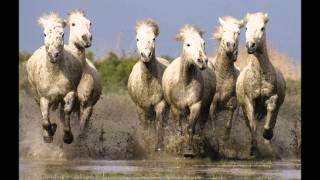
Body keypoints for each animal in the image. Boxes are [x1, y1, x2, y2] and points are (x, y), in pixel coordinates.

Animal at [26, 12, 82, 144]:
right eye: (45, 34)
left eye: (62, 34)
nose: (53, 55)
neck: (54, 75)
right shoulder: (44, 98)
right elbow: (46, 121)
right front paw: (48, 135)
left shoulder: (69, 93)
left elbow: (66, 112)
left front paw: (67, 137)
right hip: (36, 97)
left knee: (62, 112)